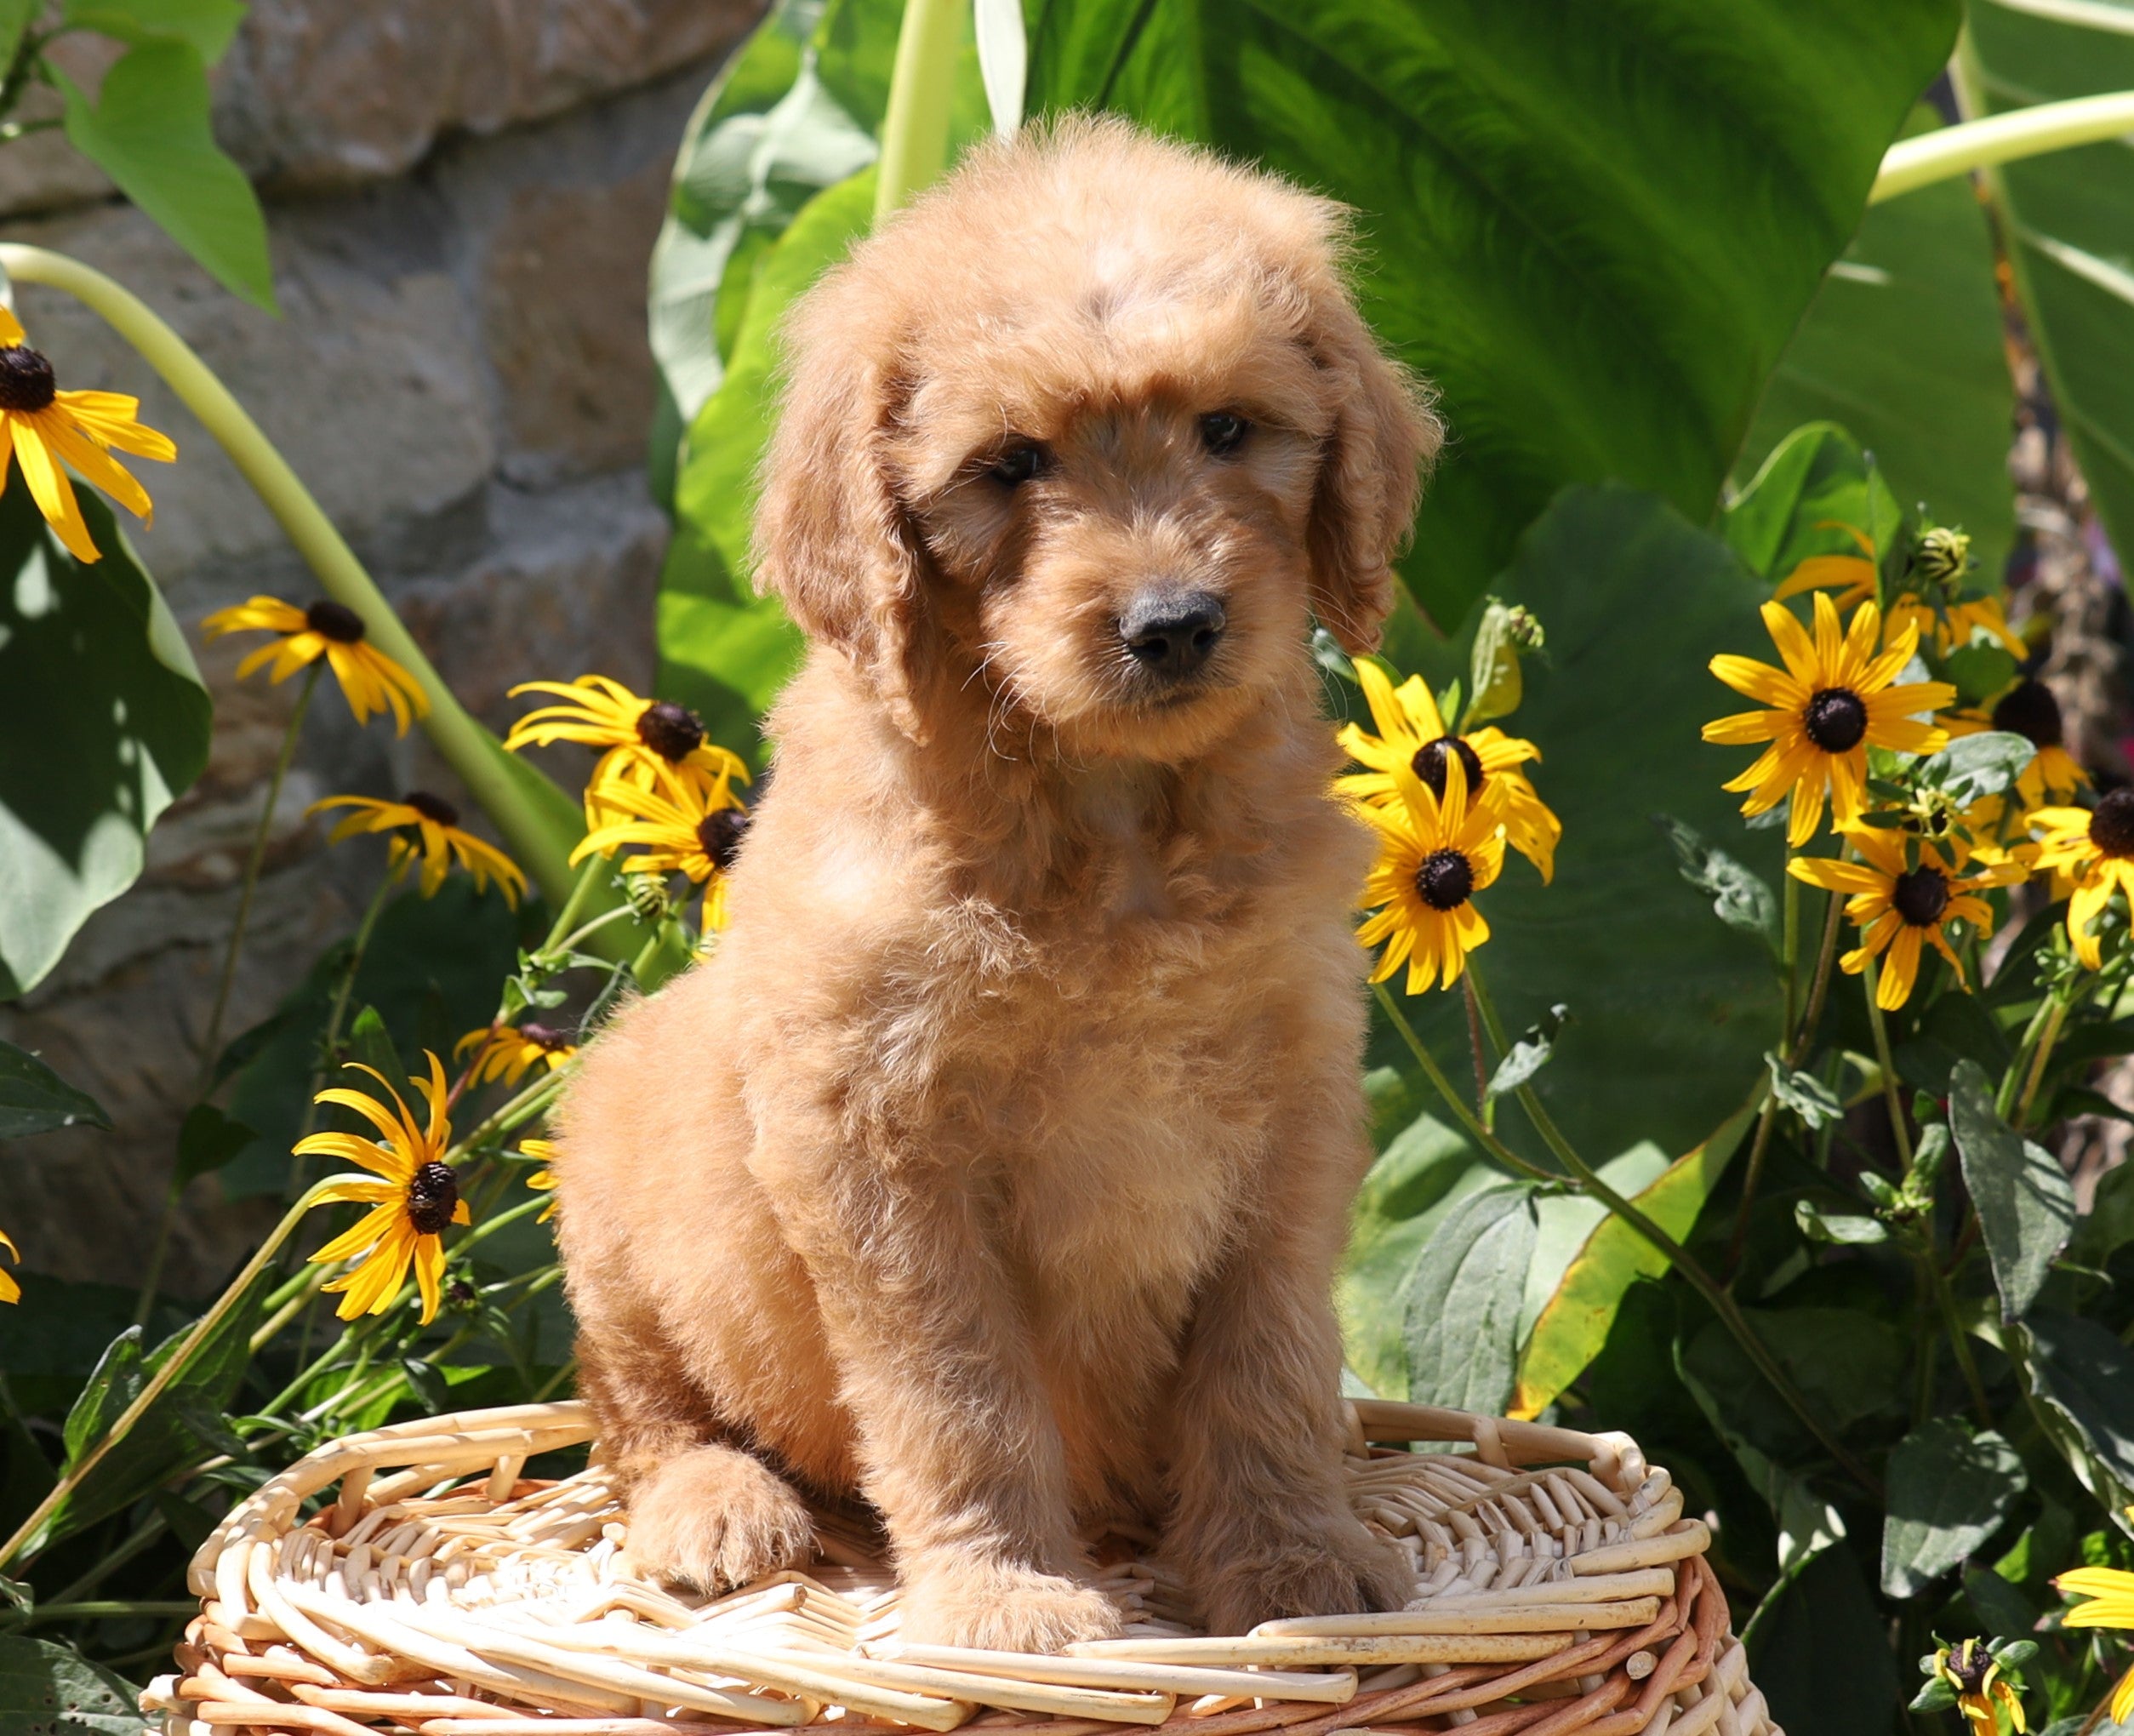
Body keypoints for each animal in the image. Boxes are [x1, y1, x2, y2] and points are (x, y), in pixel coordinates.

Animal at [559, 118, 1442, 1640]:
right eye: (1014, 464)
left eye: (1228, 430)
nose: (1173, 625)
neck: (1113, 822)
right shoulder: (881, 1150)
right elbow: (958, 1391)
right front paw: (1008, 1597)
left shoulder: (1296, 1104)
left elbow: (1270, 1356)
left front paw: (1289, 1560)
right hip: (610, 1193)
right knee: (637, 1410)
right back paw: (718, 1507)